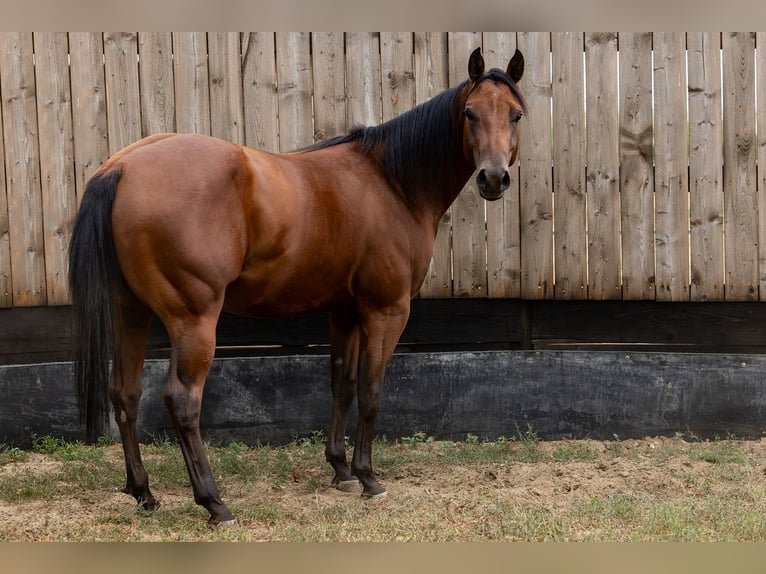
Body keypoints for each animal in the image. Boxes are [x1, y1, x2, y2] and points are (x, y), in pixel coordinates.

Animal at [68, 47, 526, 526]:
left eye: (516, 114)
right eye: (471, 113)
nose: (493, 178)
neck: (391, 181)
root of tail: (121, 167)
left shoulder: (344, 310)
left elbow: (343, 383)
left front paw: (341, 469)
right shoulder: (386, 310)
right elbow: (371, 390)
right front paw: (368, 478)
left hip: (130, 312)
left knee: (125, 392)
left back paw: (144, 493)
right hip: (193, 319)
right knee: (182, 399)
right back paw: (214, 501)